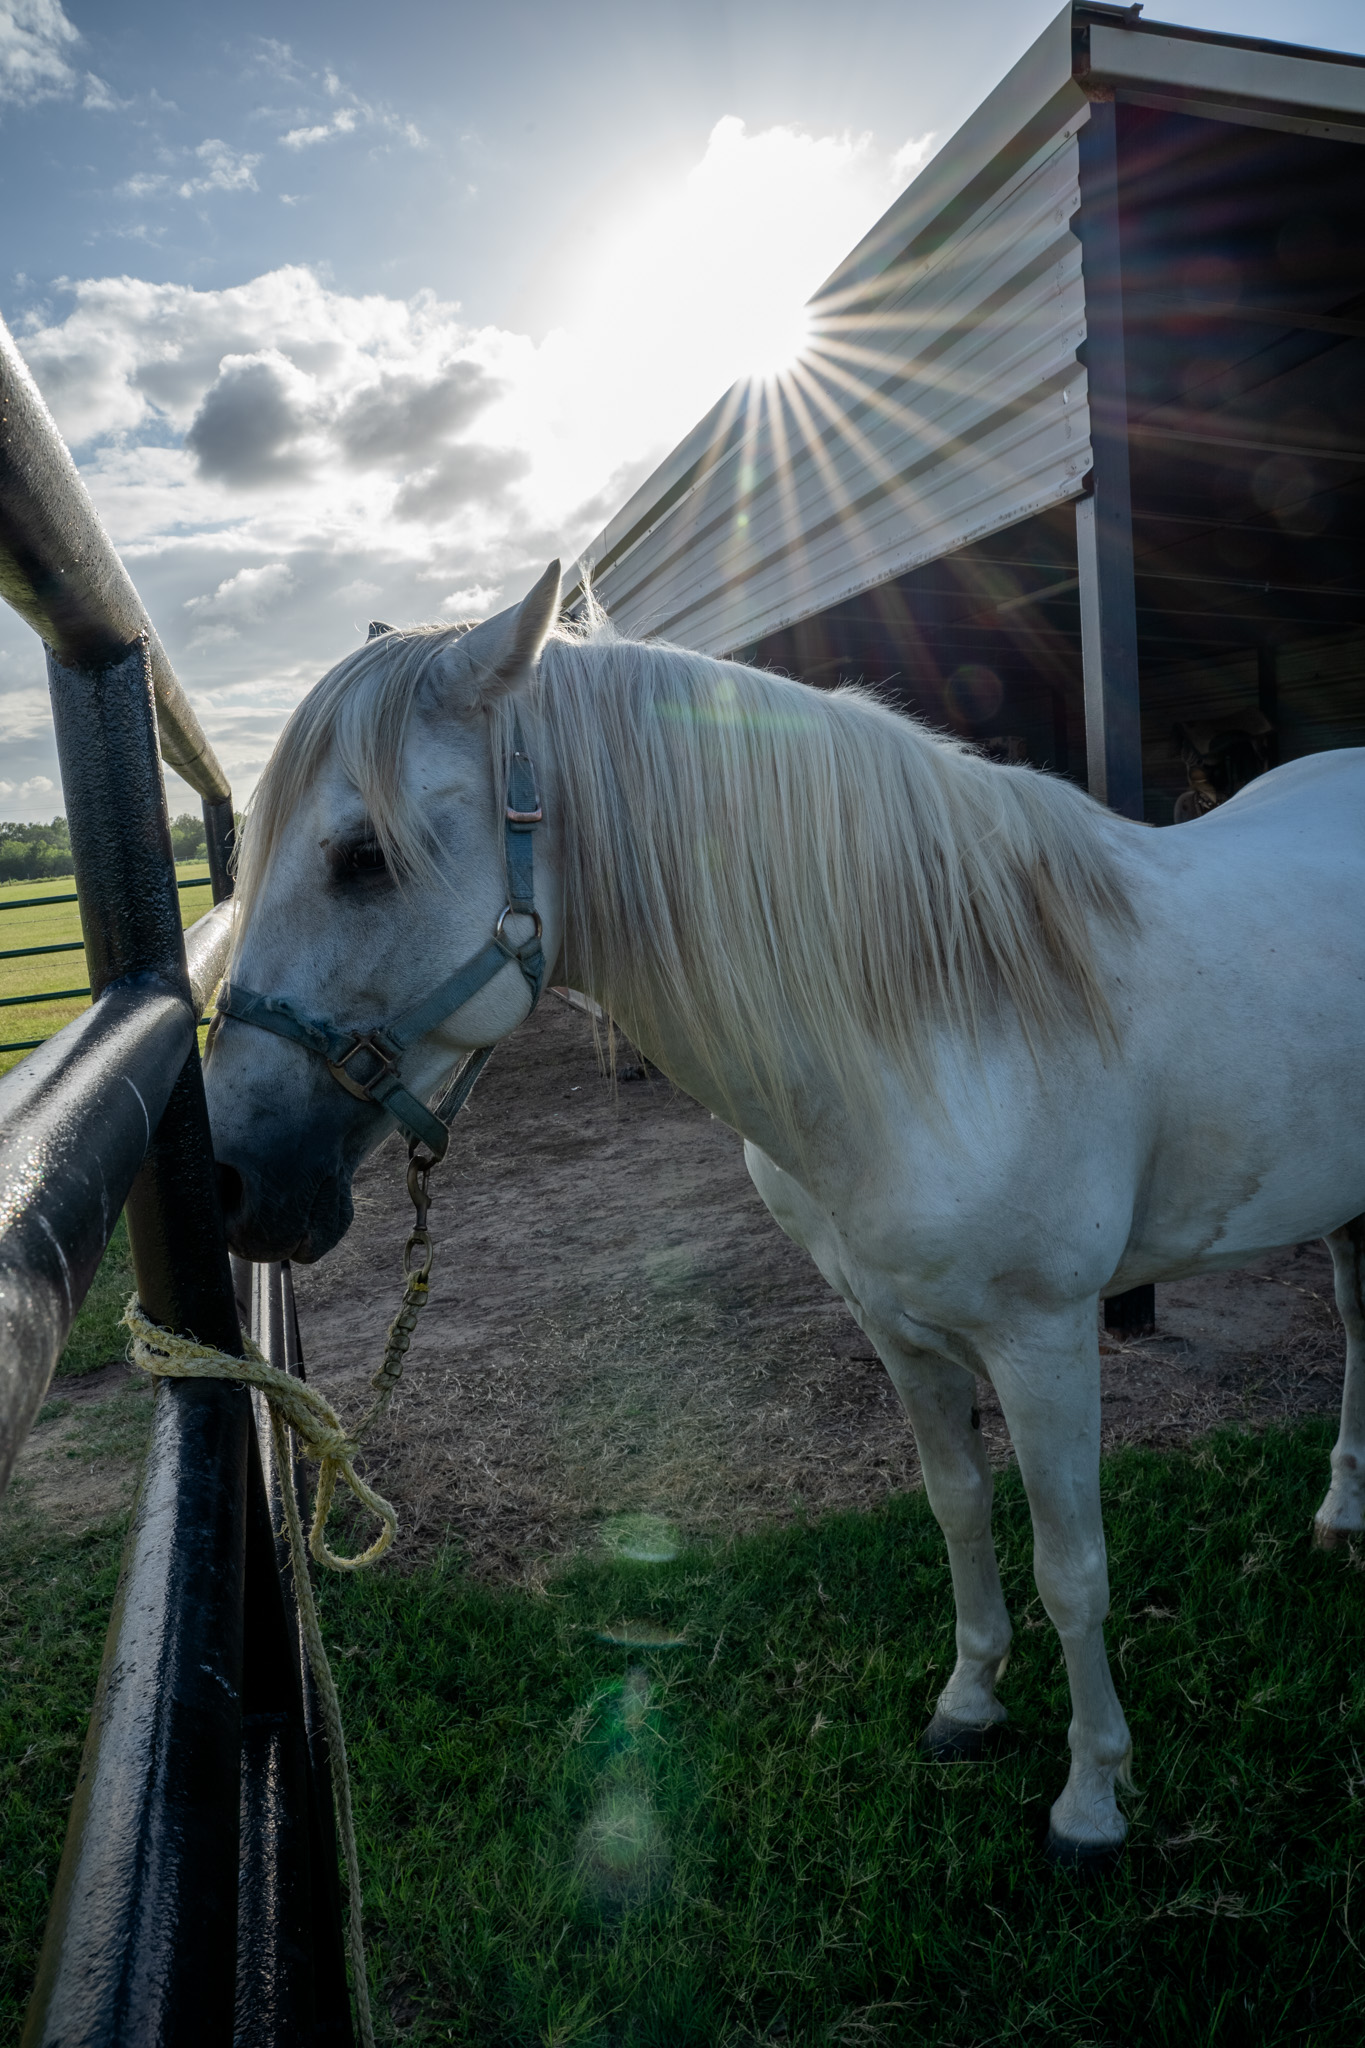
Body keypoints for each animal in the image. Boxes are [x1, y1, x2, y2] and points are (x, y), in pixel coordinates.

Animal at [204, 561, 1365, 1866]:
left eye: (361, 855)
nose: (230, 1177)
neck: (943, 1020)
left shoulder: (1048, 1338)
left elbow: (1074, 1566)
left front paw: (1091, 1796)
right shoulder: (898, 1327)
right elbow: (959, 1505)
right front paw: (970, 1701)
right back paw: (1341, 1512)